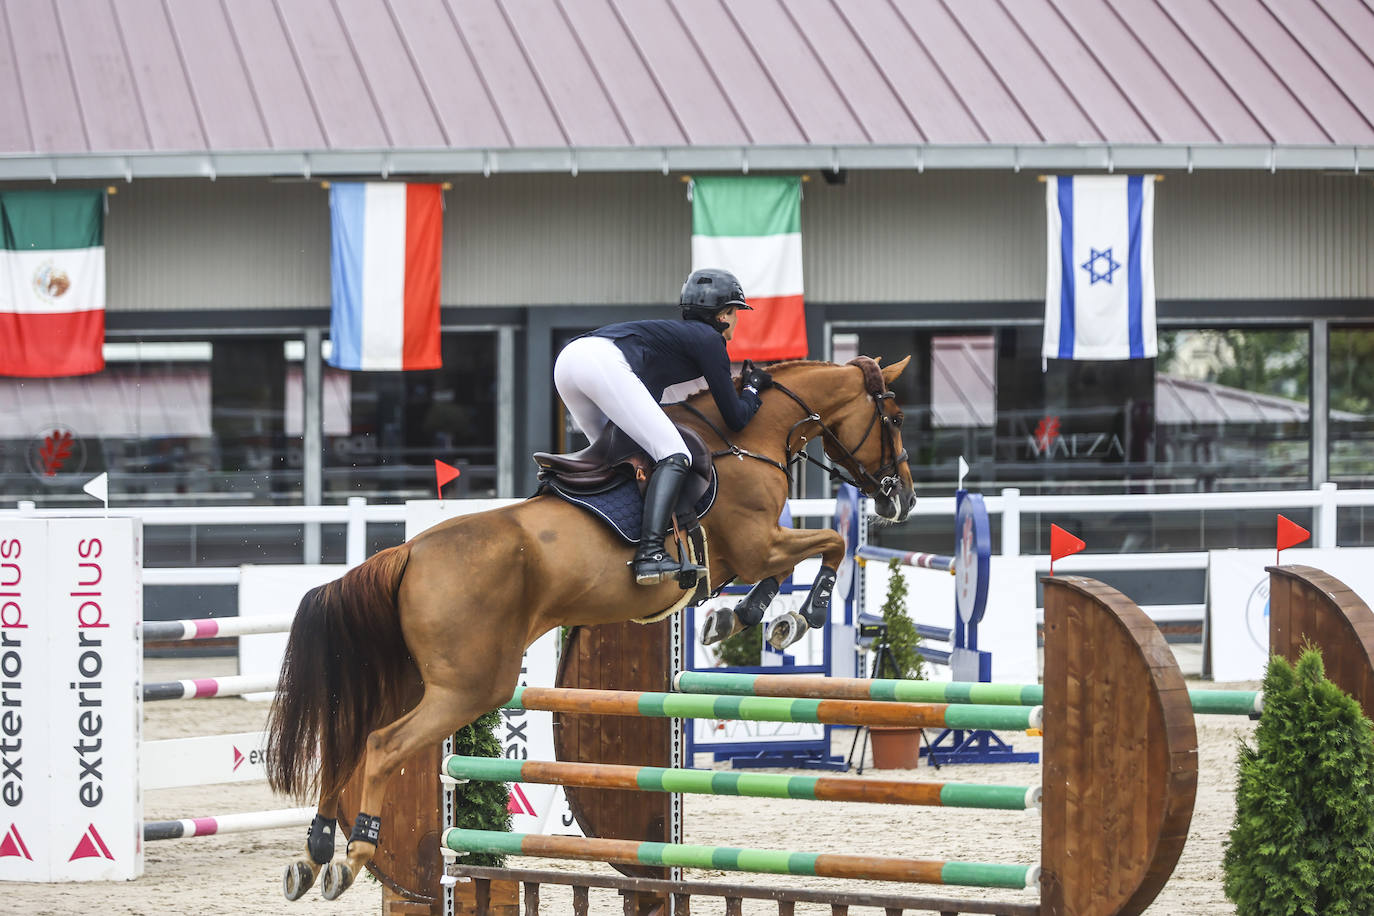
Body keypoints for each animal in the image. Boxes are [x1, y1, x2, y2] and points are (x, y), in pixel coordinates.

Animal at [265, 357, 912, 900]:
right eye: (897, 417)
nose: (900, 498)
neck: (746, 442)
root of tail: (410, 552)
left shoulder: (749, 556)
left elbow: (793, 566)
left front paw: (743, 617)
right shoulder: (757, 546)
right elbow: (829, 544)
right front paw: (799, 616)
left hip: (421, 679)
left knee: (351, 740)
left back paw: (315, 851)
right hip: (469, 688)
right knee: (381, 745)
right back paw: (353, 856)